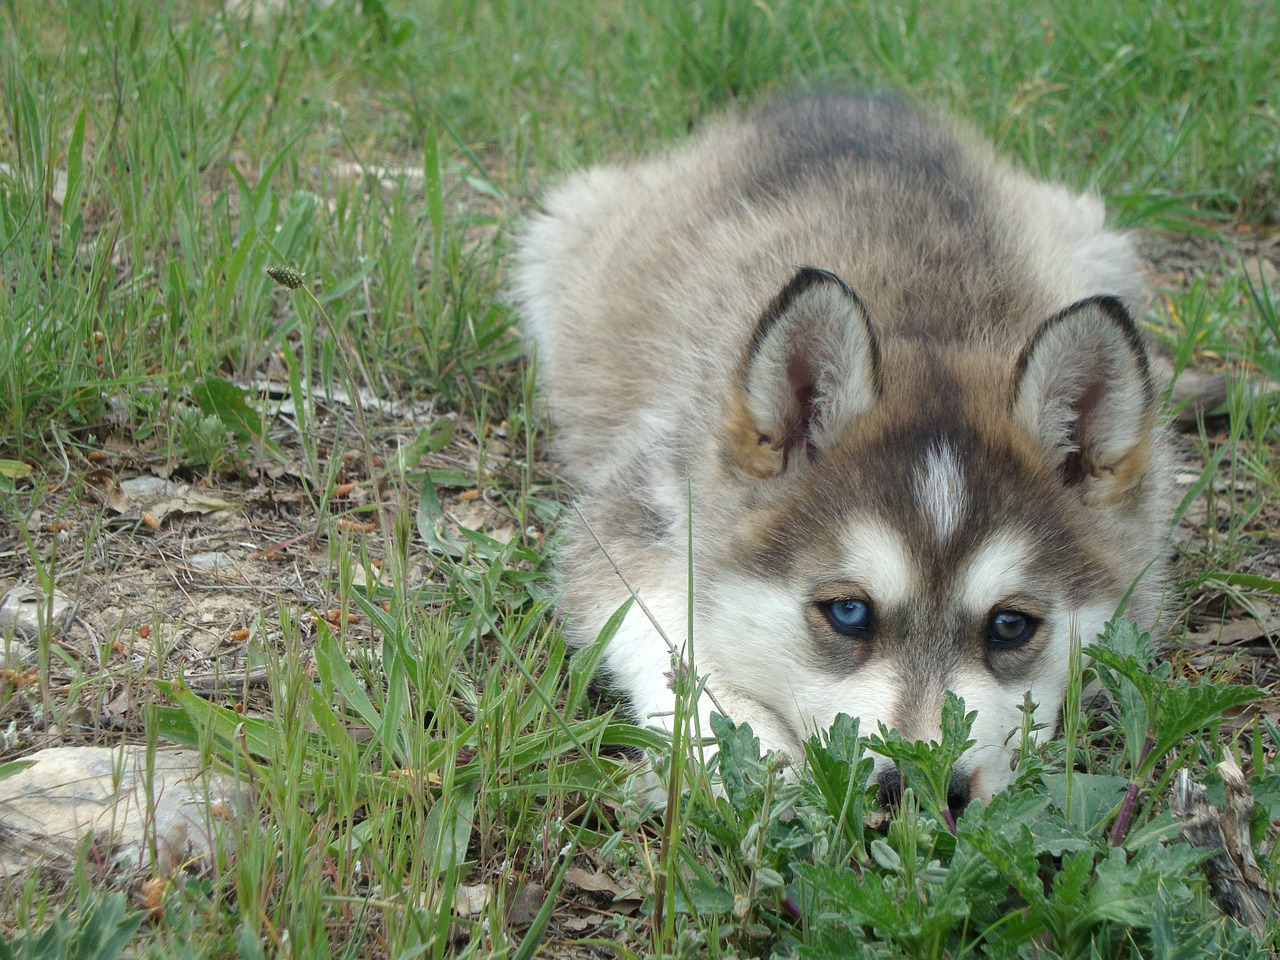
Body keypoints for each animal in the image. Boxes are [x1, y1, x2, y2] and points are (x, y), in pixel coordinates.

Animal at [509, 92, 1172, 814]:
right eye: (849, 612)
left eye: (1010, 626)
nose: (916, 792)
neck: (927, 322)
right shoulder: (632, 510)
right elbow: (664, 629)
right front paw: (749, 746)